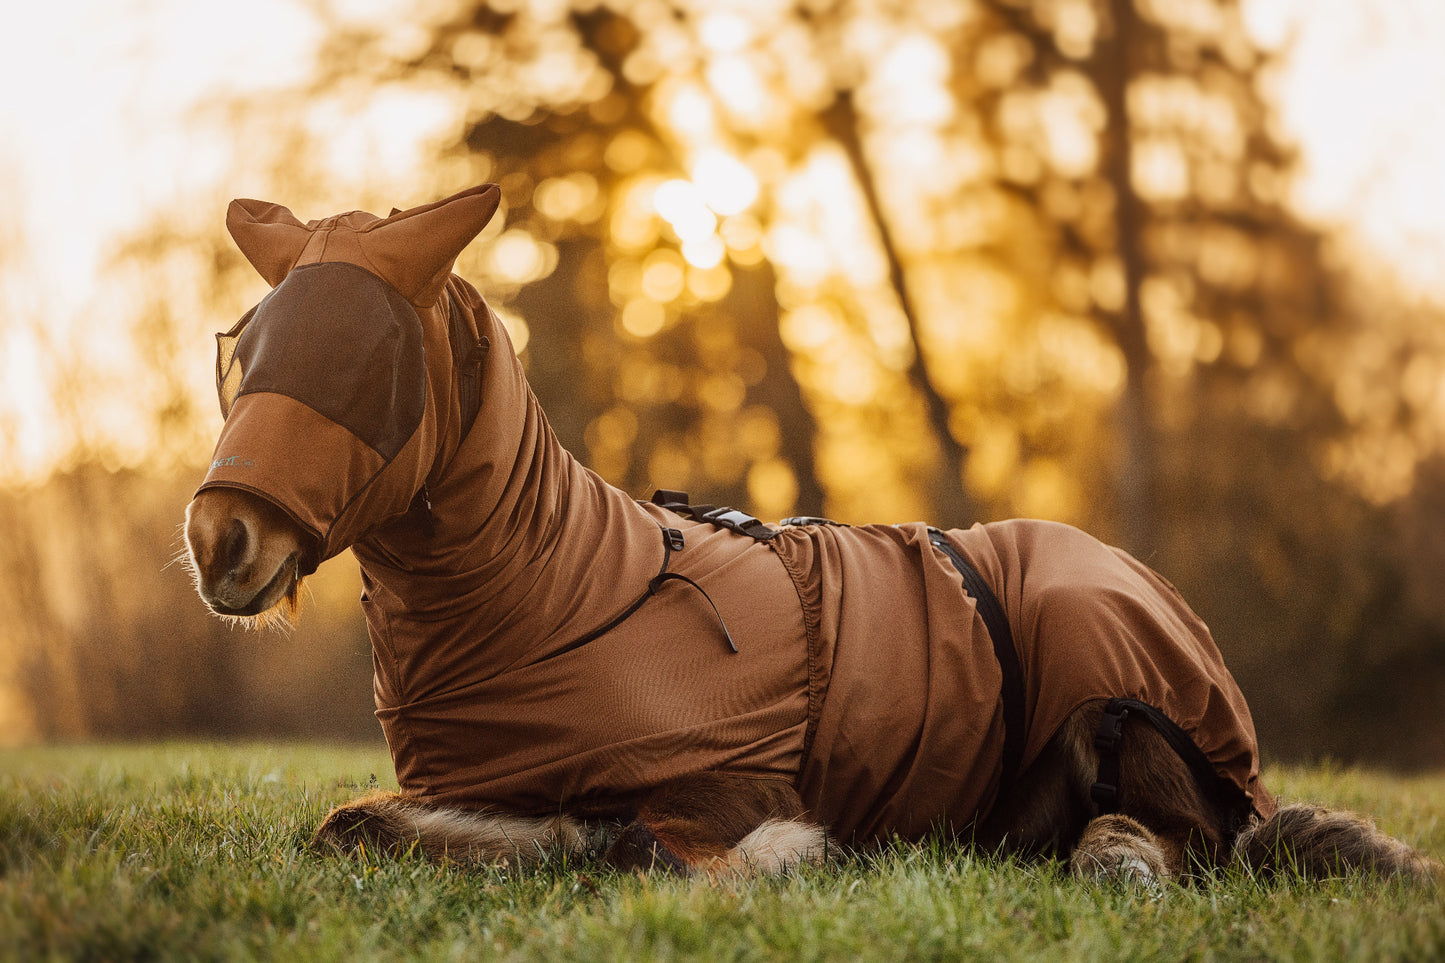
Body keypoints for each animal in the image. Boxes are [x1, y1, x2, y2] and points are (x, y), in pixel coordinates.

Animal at [186, 183, 1439, 879]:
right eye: (243, 351)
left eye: (369, 363)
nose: (217, 541)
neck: (575, 584)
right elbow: (356, 825)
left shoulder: (713, 787)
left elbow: (657, 854)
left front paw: (793, 851)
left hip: (1123, 700)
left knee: (1202, 843)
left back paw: (1120, 861)